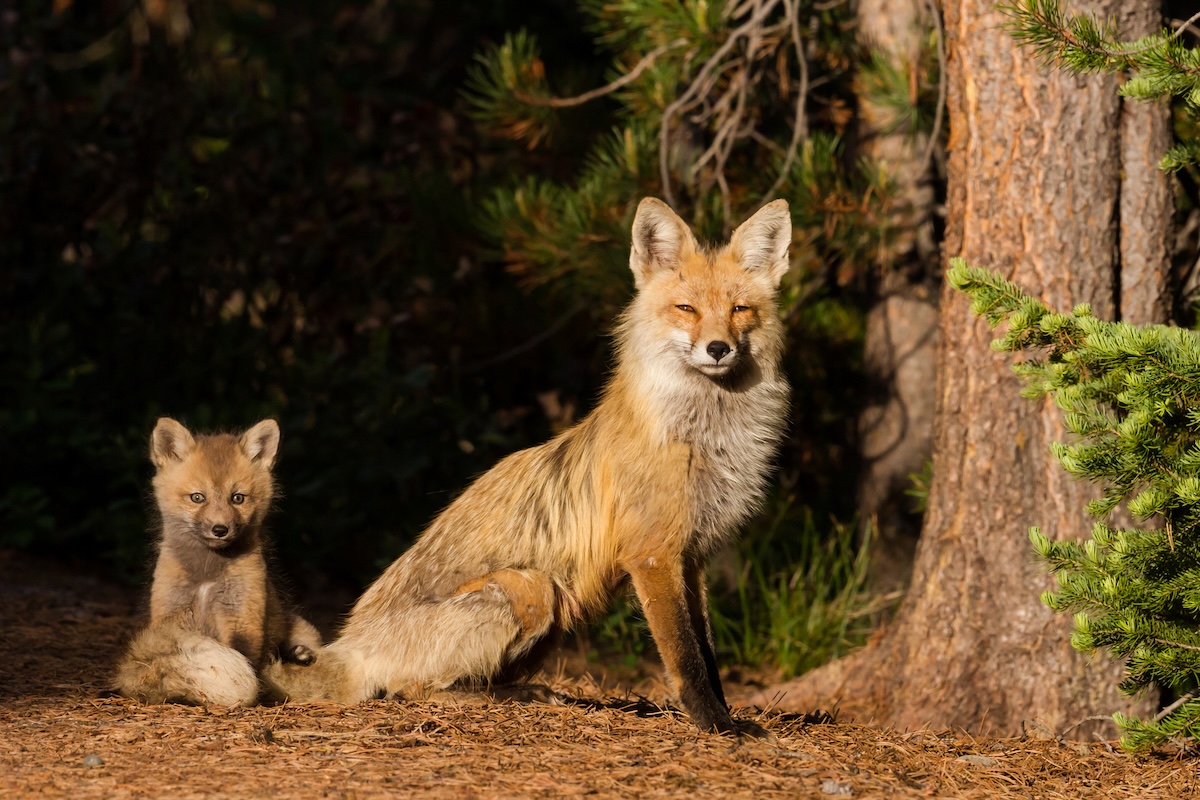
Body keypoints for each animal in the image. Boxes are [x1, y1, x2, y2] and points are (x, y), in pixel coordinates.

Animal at [115, 417, 323, 706]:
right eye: (197, 497)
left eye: (237, 498)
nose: (220, 529)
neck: (206, 578)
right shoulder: (171, 614)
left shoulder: (241, 615)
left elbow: (245, 659)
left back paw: (298, 654)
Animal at [264, 197, 792, 737]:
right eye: (686, 309)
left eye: (739, 310)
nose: (718, 348)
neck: (706, 438)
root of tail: (349, 643)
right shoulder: (653, 554)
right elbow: (686, 655)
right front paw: (717, 724)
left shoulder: (693, 555)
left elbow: (708, 651)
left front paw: (725, 713)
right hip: (532, 587)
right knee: (412, 689)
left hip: (559, 613)